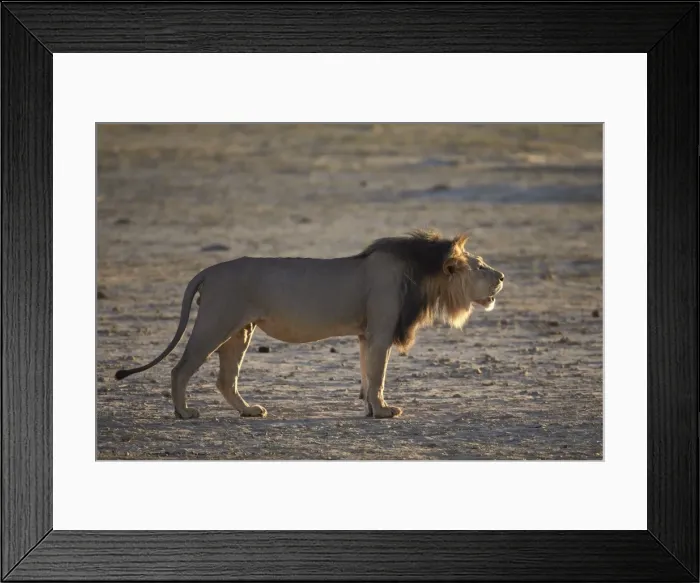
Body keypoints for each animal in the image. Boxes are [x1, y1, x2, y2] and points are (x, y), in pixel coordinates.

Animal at [115, 230, 505, 420]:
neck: (423, 273)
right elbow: (378, 375)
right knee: (180, 369)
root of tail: (208, 271)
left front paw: (369, 409)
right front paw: (383, 412)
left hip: (240, 331)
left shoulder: (366, 335)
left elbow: (367, 374)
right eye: (480, 266)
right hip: (216, 322)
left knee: (226, 380)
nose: (502, 277)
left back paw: (249, 411)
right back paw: (183, 412)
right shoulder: (380, 331)